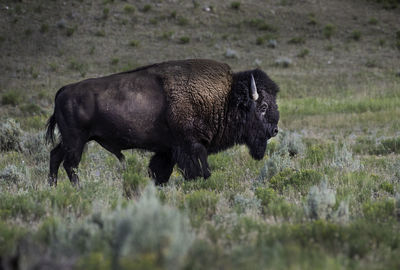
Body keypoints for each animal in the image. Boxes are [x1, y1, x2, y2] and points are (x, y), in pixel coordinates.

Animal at [45, 58, 280, 186]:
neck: (225, 97)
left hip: (71, 141)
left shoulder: (167, 151)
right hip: (76, 141)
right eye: (263, 106)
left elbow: (159, 173)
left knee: (55, 156)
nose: (275, 130)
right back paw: (78, 189)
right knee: (70, 164)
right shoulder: (191, 147)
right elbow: (200, 172)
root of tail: (64, 90)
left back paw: (52, 187)